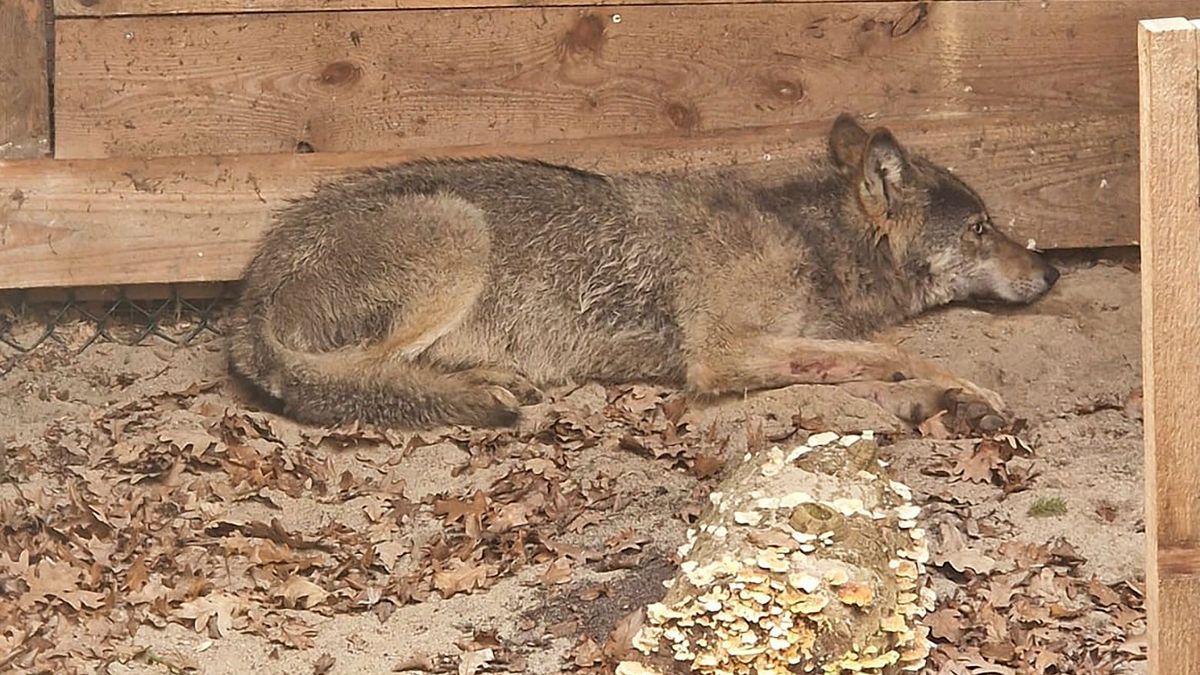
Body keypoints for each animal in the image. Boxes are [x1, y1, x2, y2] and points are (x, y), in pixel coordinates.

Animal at [226, 113, 1059, 430]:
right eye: (982, 228)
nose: (1051, 270)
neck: (808, 240)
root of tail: (248, 293)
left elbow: (865, 358)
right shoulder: (721, 354)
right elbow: (895, 352)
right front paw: (968, 391)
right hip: (459, 233)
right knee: (354, 377)